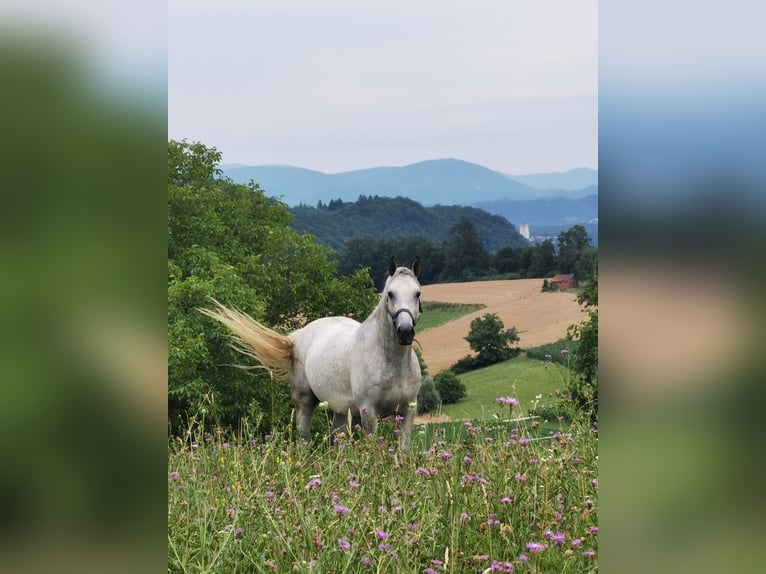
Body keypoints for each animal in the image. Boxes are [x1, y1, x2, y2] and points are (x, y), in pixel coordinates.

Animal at [201, 258, 426, 450]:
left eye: (417, 293)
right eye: (390, 294)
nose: (405, 332)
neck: (392, 362)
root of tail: (298, 336)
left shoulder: (407, 411)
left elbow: (403, 450)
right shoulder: (369, 413)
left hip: (340, 409)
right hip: (304, 402)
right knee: (304, 439)